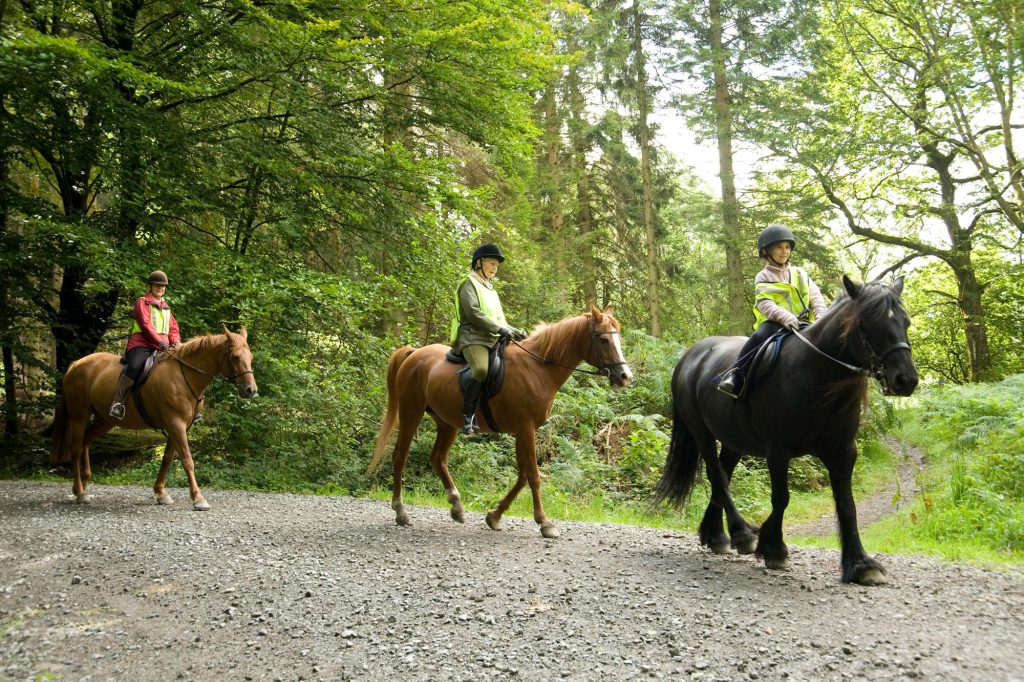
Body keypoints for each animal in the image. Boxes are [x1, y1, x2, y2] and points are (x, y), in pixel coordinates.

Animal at [48, 327, 258, 507]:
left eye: (250, 357)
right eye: (235, 357)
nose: (251, 390)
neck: (184, 376)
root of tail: (76, 365)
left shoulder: (179, 427)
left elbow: (167, 459)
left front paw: (161, 493)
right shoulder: (176, 424)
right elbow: (187, 460)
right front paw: (198, 498)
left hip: (104, 420)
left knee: (86, 441)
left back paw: (84, 486)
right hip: (79, 414)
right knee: (76, 448)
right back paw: (79, 492)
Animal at [368, 307, 630, 536]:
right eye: (604, 340)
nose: (625, 376)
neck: (539, 369)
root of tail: (414, 353)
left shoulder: (523, 430)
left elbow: (523, 476)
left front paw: (494, 516)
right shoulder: (525, 429)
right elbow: (534, 476)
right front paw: (545, 523)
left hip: (446, 422)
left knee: (438, 458)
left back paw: (456, 506)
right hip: (411, 412)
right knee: (399, 456)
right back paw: (401, 512)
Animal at [655, 274, 921, 581]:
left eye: (906, 321)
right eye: (868, 322)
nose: (906, 379)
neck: (817, 377)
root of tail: (689, 356)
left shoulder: (843, 452)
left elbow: (847, 504)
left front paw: (860, 564)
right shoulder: (778, 451)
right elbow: (781, 498)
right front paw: (773, 548)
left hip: (734, 439)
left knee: (723, 475)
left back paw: (717, 535)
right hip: (701, 432)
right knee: (717, 476)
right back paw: (742, 534)